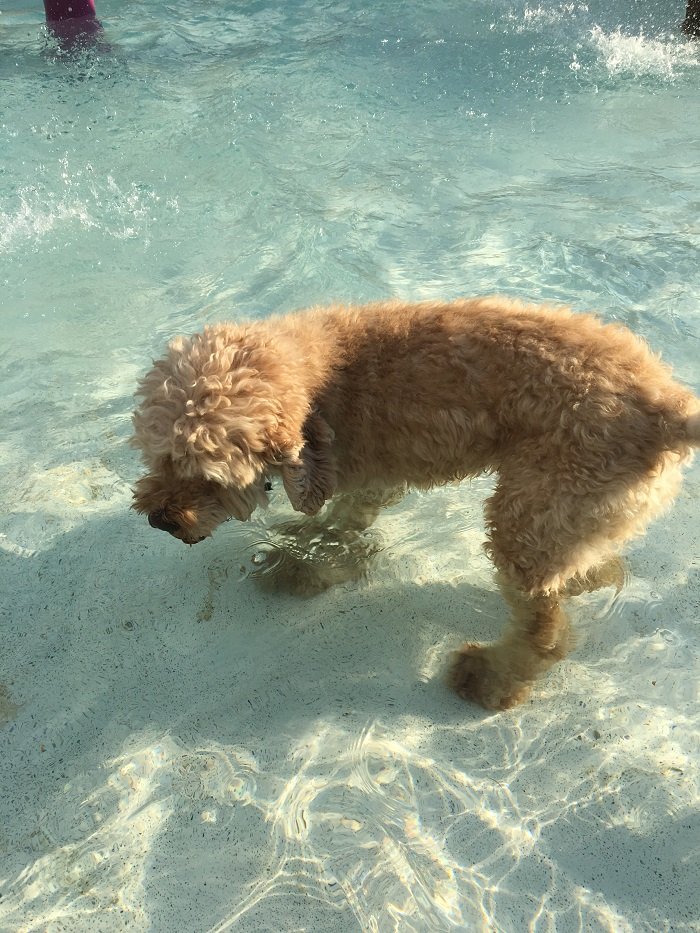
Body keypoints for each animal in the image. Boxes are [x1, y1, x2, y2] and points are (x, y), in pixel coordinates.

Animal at [133, 296, 700, 708]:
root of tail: (667, 408)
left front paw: (300, 567)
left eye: (207, 477)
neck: (316, 375)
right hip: (569, 513)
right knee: (585, 565)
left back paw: (488, 679)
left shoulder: (365, 481)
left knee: (545, 631)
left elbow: (338, 529)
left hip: (530, 513)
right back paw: (588, 577)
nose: (159, 520)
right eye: (157, 455)